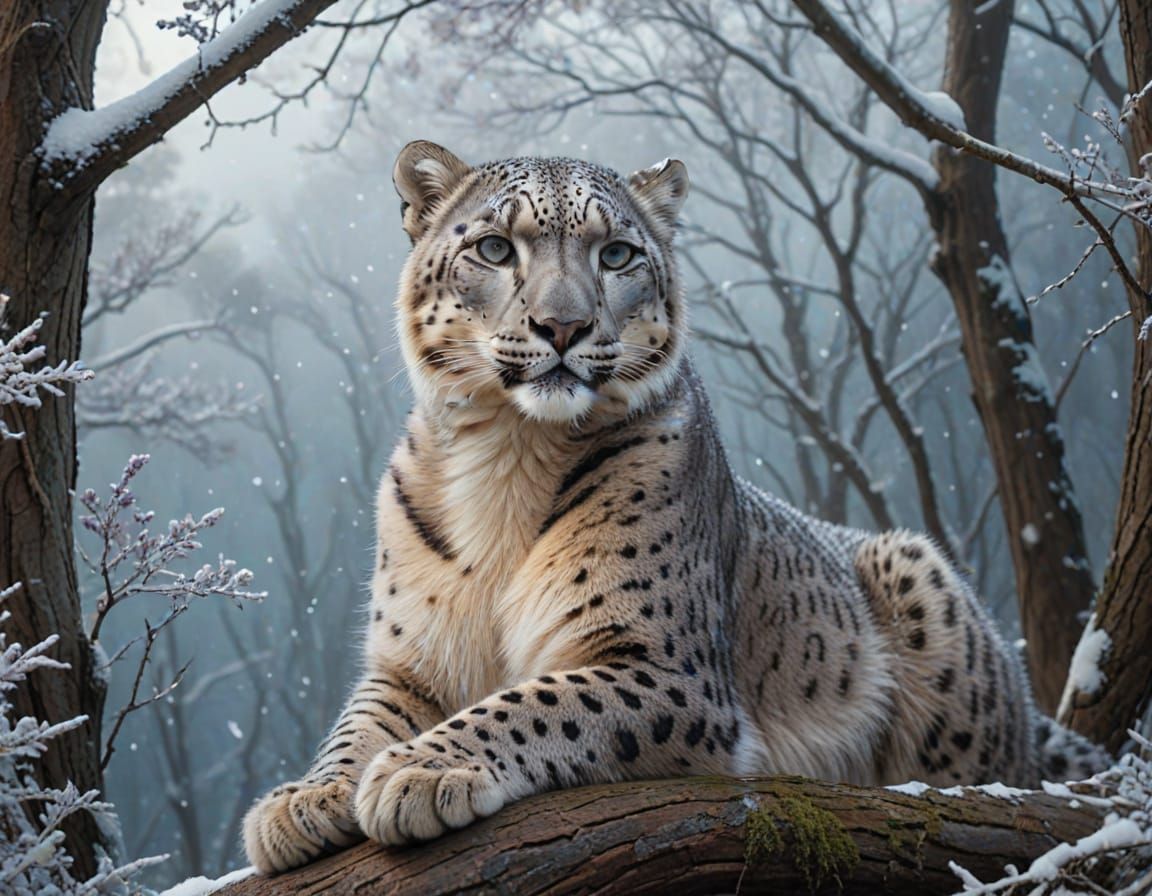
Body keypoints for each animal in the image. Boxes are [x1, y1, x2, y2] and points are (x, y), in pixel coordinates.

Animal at [242, 141, 1108, 873]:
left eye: (616, 253)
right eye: (494, 247)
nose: (562, 326)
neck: (506, 456)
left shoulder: (663, 665)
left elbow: (533, 704)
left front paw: (421, 768)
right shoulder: (409, 658)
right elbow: (357, 723)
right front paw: (303, 800)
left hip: (918, 580)